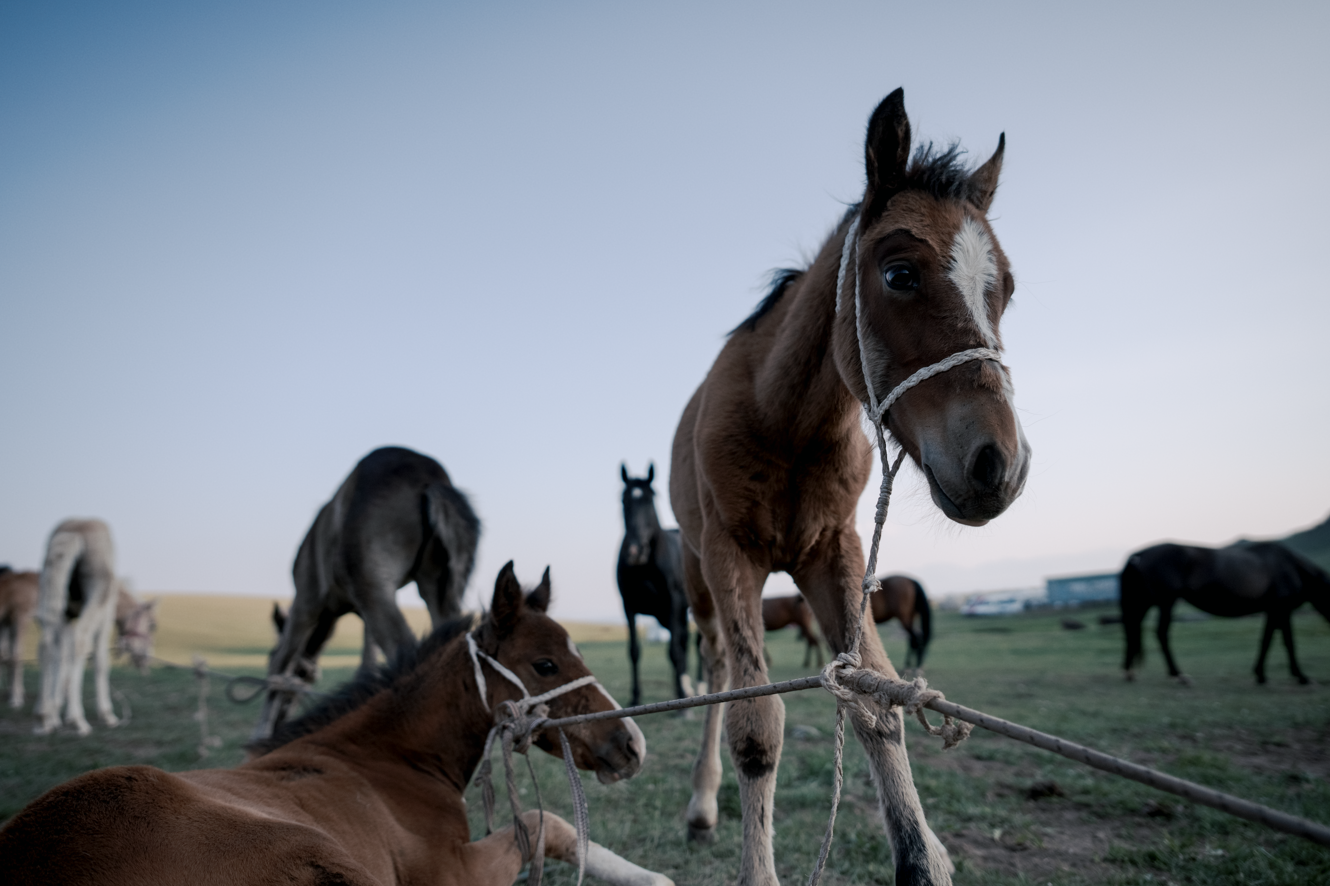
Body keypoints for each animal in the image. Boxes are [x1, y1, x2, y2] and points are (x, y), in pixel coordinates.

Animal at [254, 445, 481, 740]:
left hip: (372, 590)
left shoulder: (307, 600)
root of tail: (432, 481)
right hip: (435, 586)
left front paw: (260, 735)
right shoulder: (363, 615)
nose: (281, 720)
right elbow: (367, 667)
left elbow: (281, 661)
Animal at [617, 463, 692, 706]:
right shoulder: (629, 606)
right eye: (624, 500)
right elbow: (634, 651)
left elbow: (674, 651)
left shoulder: (672, 603)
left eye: (650, 499)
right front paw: (635, 696)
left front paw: (681, 695)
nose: (635, 551)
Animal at [669, 88, 1029, 885]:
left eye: (1009, 289)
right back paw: (701, 805)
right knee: (715, 672)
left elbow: (879, 702)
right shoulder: (734, 553)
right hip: (700, 580)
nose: (999, 465)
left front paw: (924, 860)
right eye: (898, 273)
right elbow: (755, 723)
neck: (786, 421)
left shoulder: (835, 549)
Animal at [1121, 541, 1330, 684]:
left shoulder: (1273, 611)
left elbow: (1266, 640)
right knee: (1161, 633)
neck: (1290, 566)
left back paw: (1130, 672)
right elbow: (1288, 642)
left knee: (1132, 629)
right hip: (1166, 602)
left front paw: (1260, 674)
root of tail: (1140, 554)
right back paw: (1178, 675)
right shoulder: (1282, 609)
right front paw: (1301, 676)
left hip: (1145, 602)